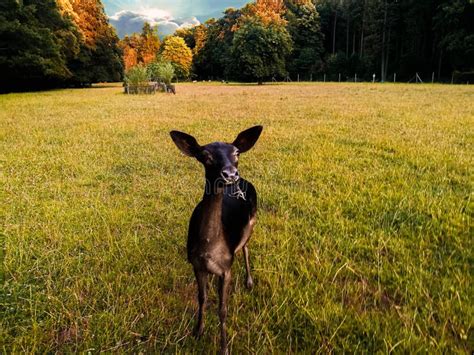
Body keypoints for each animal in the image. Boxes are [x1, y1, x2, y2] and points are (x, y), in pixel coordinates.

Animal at [169, 126, 262, 354]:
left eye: (236, 153)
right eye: (205, 155)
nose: (230, 174)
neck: (208, 248)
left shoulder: (226, 269)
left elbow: (222, 309)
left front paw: (224, 348)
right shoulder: (196, 265)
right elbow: (201, 299)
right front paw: (197, 332)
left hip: (252, 221)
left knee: (245, 247)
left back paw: (249, 281)